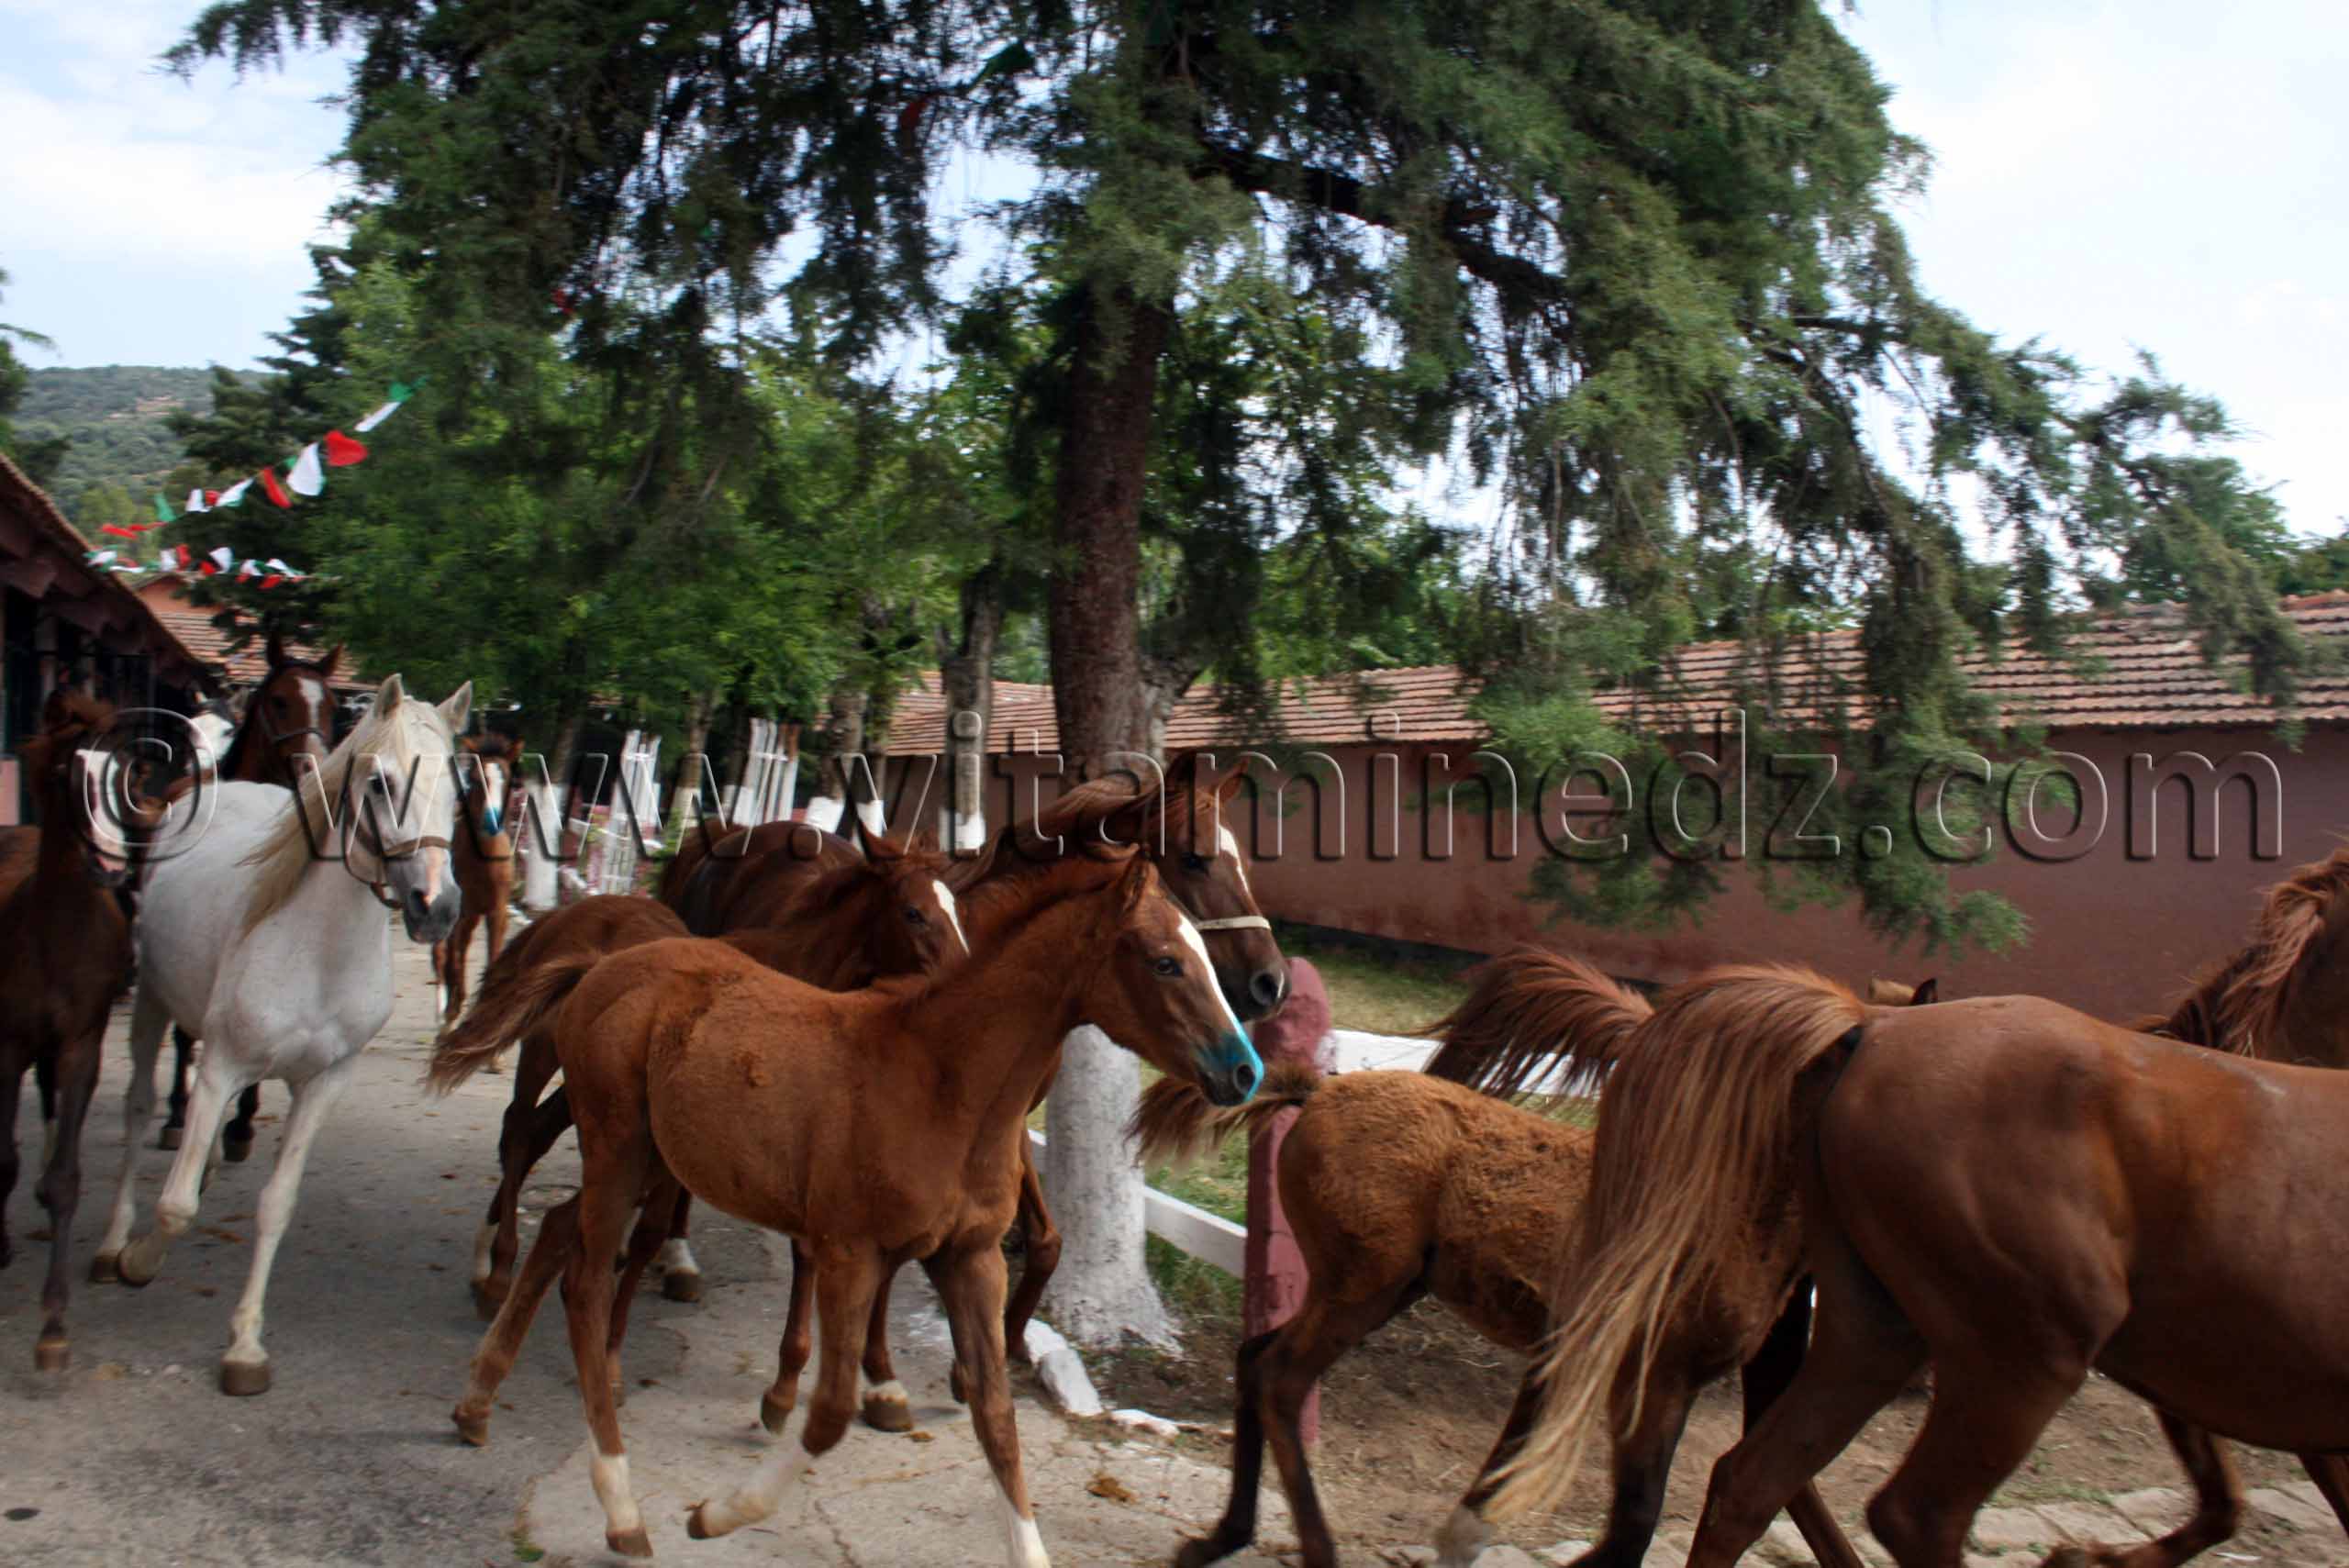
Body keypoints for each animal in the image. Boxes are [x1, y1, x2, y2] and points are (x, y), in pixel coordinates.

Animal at [158, 633, 347, 1160]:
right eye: (279, 701)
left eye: (332, 705)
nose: (312, 768)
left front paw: (242, 1122)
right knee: (183, 1035)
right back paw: (176, 1114)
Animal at [427, 845, 1259, 1564]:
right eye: (1165, 959)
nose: (1244, 1069)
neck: (944, 1081)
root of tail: (602, 962)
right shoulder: (850, 1252)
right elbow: (826, 1412)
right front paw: (716, 1513)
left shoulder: (971, 1258)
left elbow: (996, 1414)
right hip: (618, 1148)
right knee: (583, 1276)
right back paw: (622, 1506)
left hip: (647, 1157)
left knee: (555, 1229)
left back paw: (475, 1402)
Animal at [430, 732, 520, 1035]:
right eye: (477, 780)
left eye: (506, 778)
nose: (491, 821)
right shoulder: (459, 913)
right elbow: (454, 961)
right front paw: (451, 1013)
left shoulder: (497, 913)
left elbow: (492, 961)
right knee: (443, 956)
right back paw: (443, 1014)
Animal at [1147, 947, 1932, 1568]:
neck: (1722, 1213)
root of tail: (1319, 1089)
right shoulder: (1649, 1378)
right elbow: (1635, 1523)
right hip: (1361, 1288)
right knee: (1278, 1378)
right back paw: (1310, 1547)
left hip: (1381, 1289)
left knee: (1254, 1361)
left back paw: (1221, 1536)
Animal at [1488, 955, 2349, 1568]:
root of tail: (1863, 1035)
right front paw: (2079, 1556)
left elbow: (2224, 1499)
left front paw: (2085, 1554)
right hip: (2024, 1354)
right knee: (1908, 1513)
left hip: (1872, 1332)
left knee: (1745, 1475)